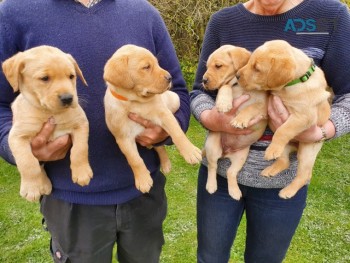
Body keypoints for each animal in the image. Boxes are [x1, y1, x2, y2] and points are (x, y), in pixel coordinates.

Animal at [2, 45, 93, 202]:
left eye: (71, 76)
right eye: (44, 78)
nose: (68, 98)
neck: (50, 112)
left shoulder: (81, 124)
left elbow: (80, 150)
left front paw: (82, 173)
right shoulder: (17, 136)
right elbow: (28, 162)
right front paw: (31, 187)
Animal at [103, 44, 202, 194]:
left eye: (157, 63)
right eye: (146, 67)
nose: (170, 77)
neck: (133, 102)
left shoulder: (164, 115)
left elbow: (177, 133)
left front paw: (190, 152)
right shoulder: (123, 138)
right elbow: (134, 160)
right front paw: (143, 179)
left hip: (174, 99)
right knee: (158, 146)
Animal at [201, 45, 266, 200]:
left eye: (218, 66)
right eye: (206, 67)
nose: (203, 80)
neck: (240, 86)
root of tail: (226, 153)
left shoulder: (264, 106)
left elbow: (250, 108)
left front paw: (240, 120)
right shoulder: (224, 88)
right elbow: (225, 87)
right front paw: (224, 103)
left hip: (241, 156)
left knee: (231, 172)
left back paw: (235, 192)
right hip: (212, 146)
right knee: (213, 166)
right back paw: (211, 186)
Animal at [238, 40, 330, 199]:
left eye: (257, 68)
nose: (237, 75)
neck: (295, 83)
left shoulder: (304, 117)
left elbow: (284, 129)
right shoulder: (267, 104)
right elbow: (251, 108)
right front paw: (240, 118)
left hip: (307, 151)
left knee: (304, 175)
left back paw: (288, 191)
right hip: (286, 148)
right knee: (284, 161)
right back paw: (270, 168)